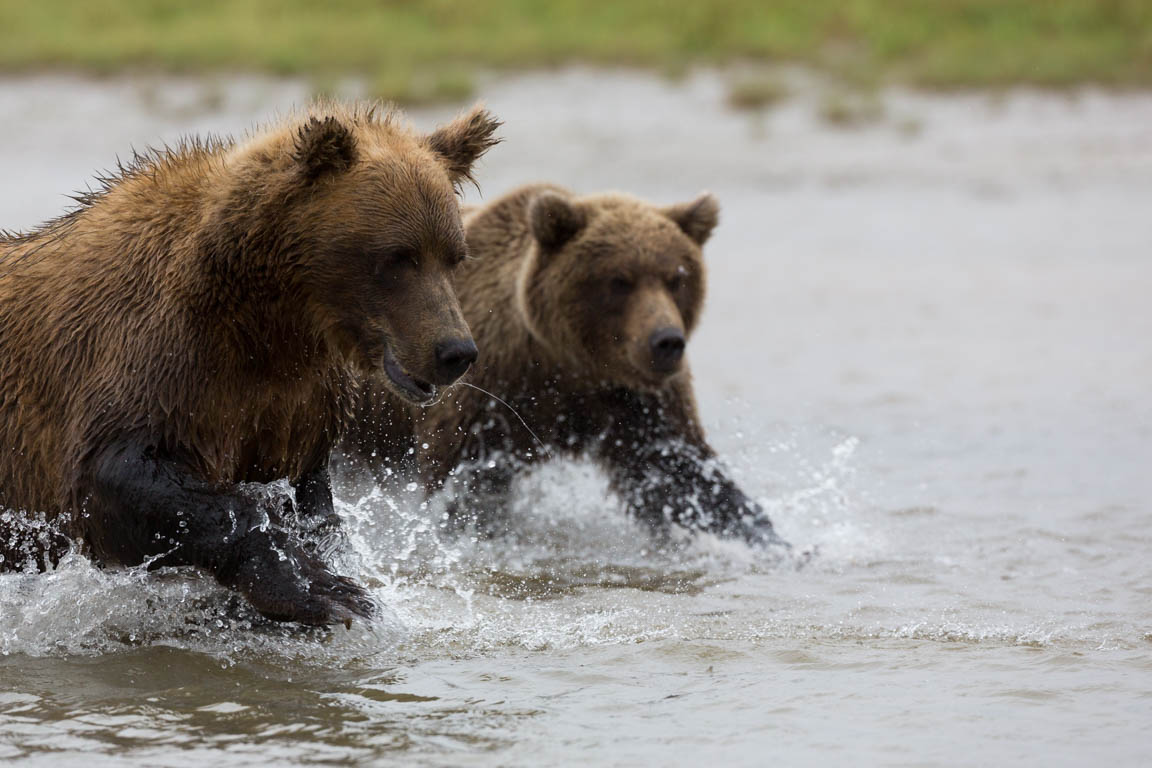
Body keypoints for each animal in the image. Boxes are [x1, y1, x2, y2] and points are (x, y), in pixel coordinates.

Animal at [2, 101, 502, 626]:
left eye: (453, 255)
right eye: (398, 257)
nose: (455, 351)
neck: (264, 319)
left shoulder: (295, 401)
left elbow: (309, 495)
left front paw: (328, 566)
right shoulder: (149, 357)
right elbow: (115, 477)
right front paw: (324, 589)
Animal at [343, 184, 783, 545]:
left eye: (676, 277)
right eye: (620, 280)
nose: (667, 341)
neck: (568, 363)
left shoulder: (635, 398)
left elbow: (675, 470)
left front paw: (767, 537)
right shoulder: (489, 390)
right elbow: (464, 479)